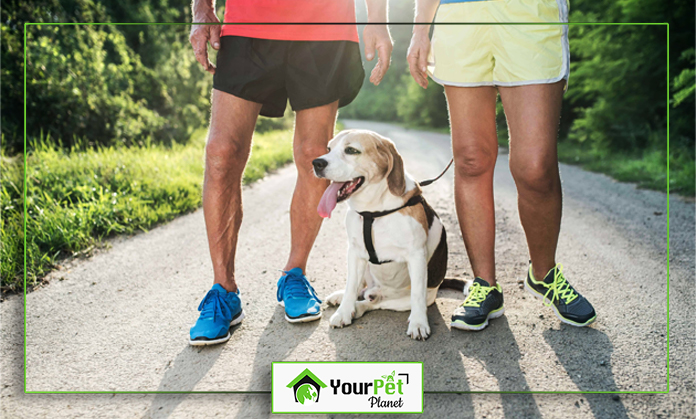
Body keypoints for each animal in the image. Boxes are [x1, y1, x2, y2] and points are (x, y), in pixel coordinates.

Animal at [312, 130, 460, 342]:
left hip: (409, 299)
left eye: (351, 150)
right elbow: (350, 287)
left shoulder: (416, 256)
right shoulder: (355, 252)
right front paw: (343, 312)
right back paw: (344, 298)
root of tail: (376, 291)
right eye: (328, 148)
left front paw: (418, 324)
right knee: (360, 288)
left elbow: (417, 296)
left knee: (375, 303)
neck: (373, 211)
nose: (316, 163)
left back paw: (362, 306)